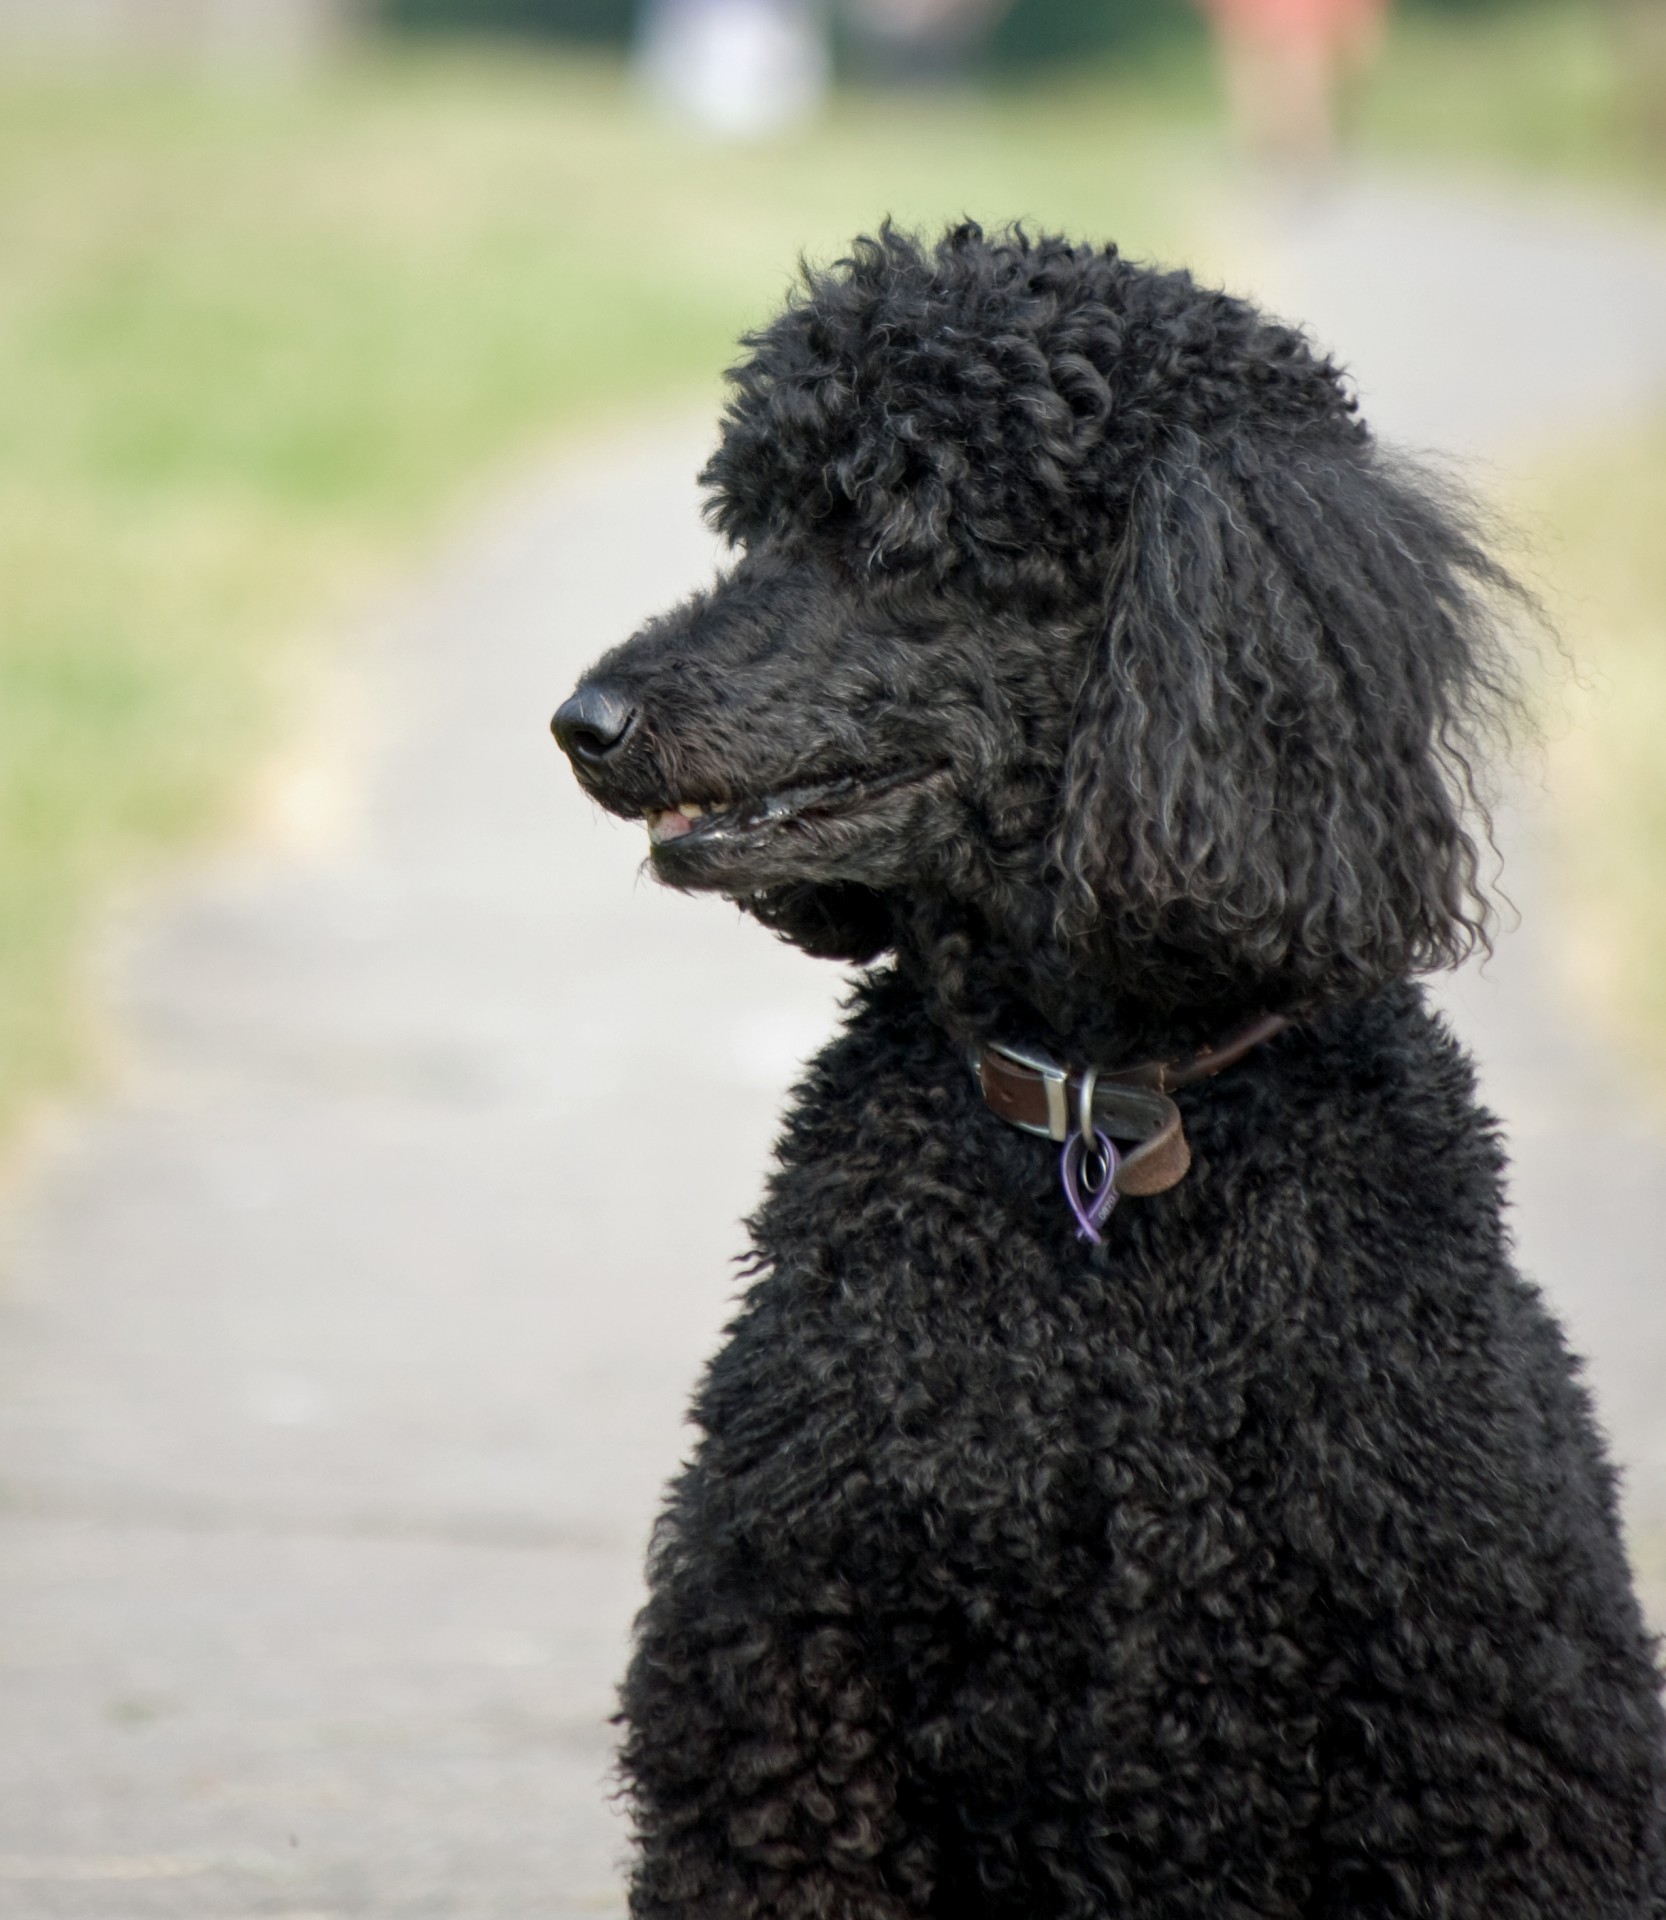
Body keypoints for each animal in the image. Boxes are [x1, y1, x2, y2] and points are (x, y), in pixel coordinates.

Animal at [548, 224, 1666, 1920]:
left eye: (898, 532)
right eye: (757, 522)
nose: (583, 723)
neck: (1099, 1108)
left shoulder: (1478, 1727)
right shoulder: (788, 1684)